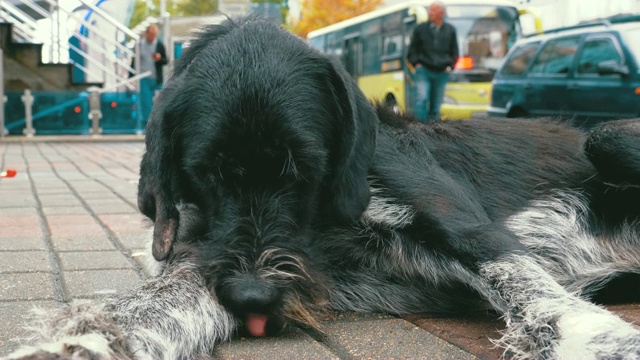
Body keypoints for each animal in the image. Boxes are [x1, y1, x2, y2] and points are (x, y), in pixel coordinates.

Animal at [8, 15, 640, 358]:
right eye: (207, 171)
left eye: (303, 168)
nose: (254, 298)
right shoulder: (214, 261)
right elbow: (148, 309)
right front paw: (78, 345)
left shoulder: (468, 227)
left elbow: (532, 290)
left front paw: (601, 342)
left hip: (606, 137)